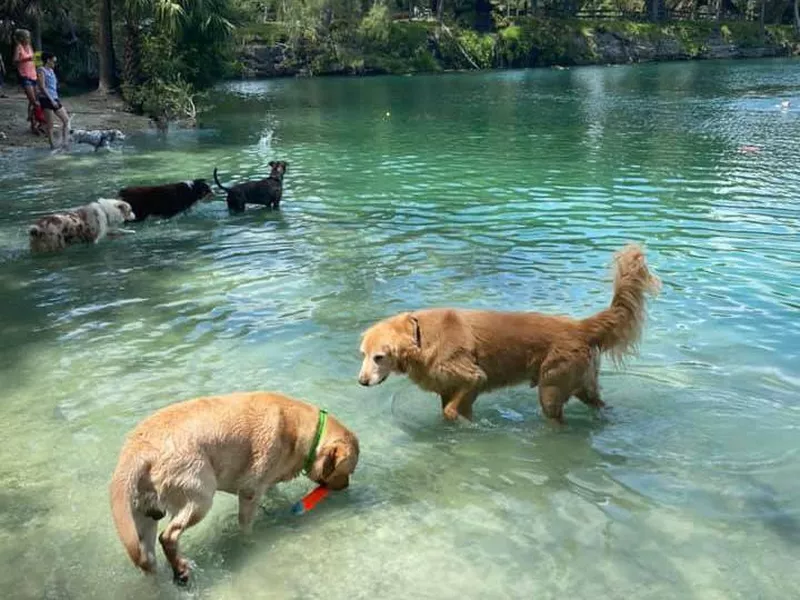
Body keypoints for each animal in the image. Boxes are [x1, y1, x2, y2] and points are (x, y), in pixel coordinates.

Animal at [109, 392, 360, 584]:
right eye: (348, 471)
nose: (347, 486)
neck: (300, 429)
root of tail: (136, 449)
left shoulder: (266, 481)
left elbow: (275, 494)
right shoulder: (250, 490)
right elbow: (246, 526)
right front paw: (250, 543)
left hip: (144, 516)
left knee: (147, 556)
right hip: (200, 496)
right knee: (168, 537)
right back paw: (181, 569)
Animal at [360, 243, 660, 422]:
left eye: (379, 357)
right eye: (362, 354)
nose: (361, 382)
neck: (421, 337)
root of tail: (580, 326)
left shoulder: (474, 379)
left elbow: (451, 410)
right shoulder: (449, 387)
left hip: (551, 389)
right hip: (584, 385)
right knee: (600, 404)